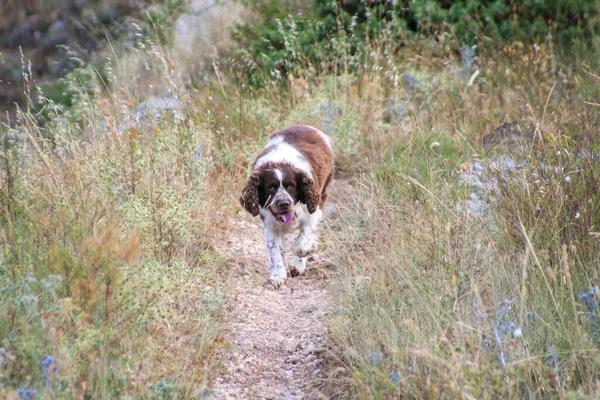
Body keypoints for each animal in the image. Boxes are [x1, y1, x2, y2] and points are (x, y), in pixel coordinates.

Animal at [239, 125, 332, 288]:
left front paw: (301, 255)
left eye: (291, 186)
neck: (280, 162)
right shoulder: (271, 225)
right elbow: (275, 251)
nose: (283, 203)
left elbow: (304, 238)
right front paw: (277, 276)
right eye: (270, 187)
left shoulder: (313, 210)